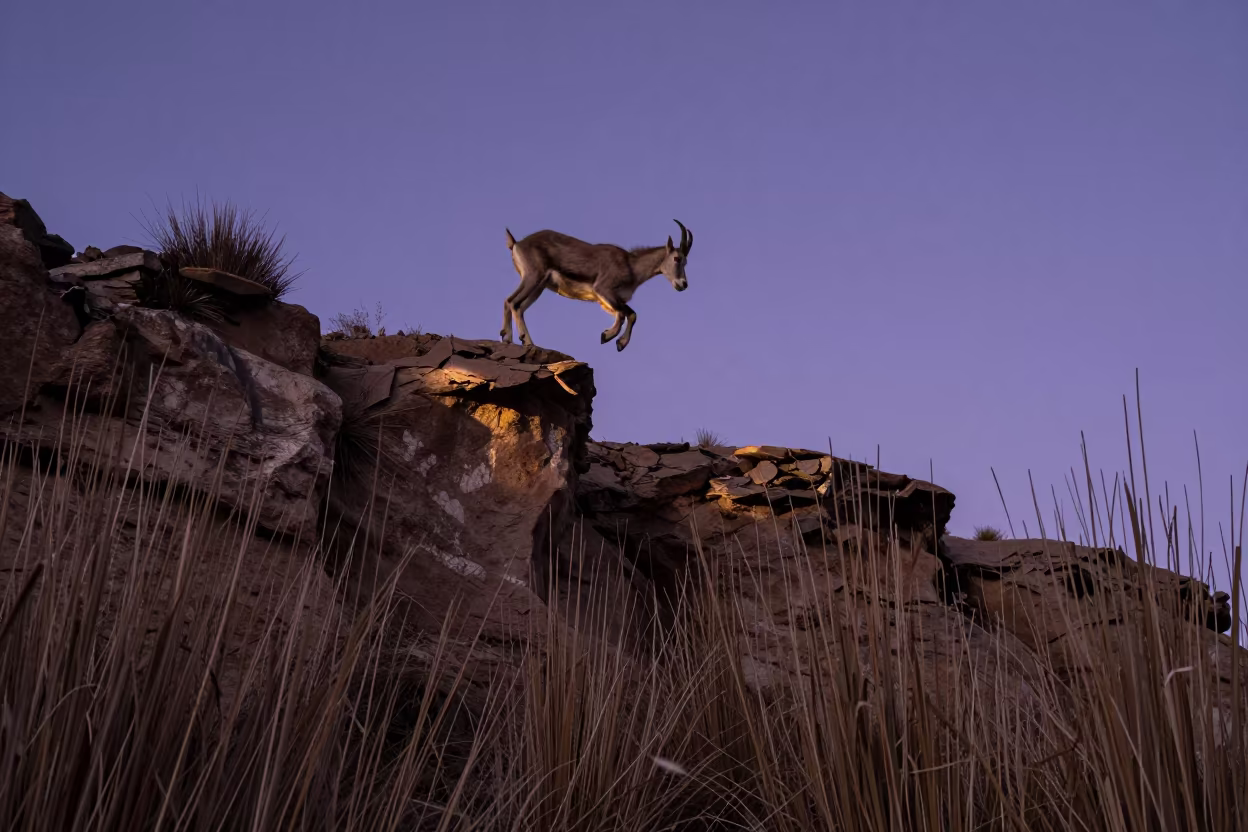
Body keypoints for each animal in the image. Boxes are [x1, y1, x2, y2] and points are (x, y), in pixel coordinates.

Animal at [500, 219, 693, 352]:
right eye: (677, 258)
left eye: (686, 262)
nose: (683, 284)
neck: (631, 266)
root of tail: (516, 244)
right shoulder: (603, 290)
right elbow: (624, 315)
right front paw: (608, 336)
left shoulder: (611, 300)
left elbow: (629, 315)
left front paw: (617, 341)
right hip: (532, 277)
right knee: (512, 301)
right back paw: (521, 339)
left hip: (539, 286)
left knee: (516, 306)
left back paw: (512, 339)